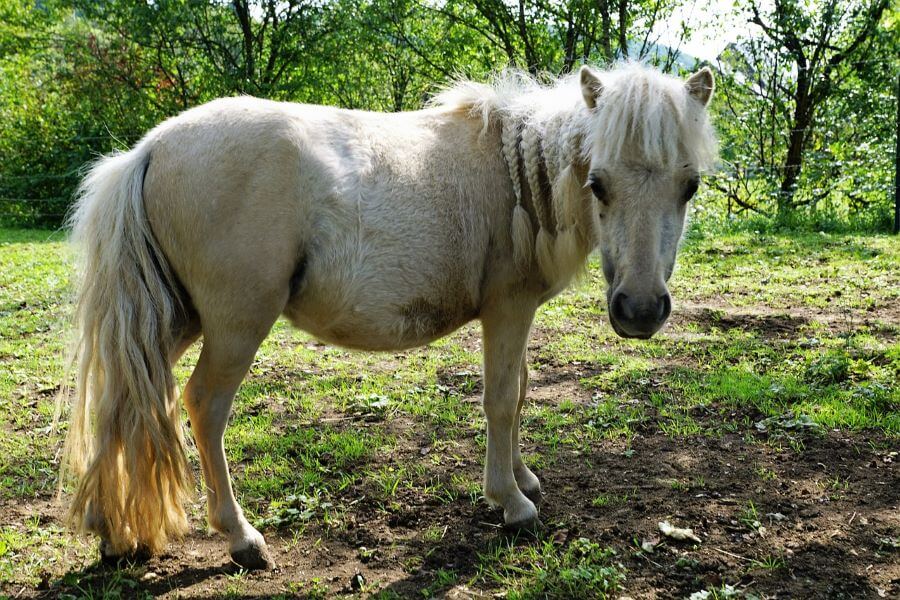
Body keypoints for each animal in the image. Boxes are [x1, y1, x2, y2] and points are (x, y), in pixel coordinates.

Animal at [58, 63, 716, 568]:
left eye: (689, 186)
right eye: (598, 183)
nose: (640, 309)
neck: (514, 172)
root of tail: (150, 148)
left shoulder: (519, 314)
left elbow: (522, 389)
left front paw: (524, 477)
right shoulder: (507, 309)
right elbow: (502, 400)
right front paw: (511, 501)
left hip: (172, 320)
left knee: (124, 399)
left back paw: (109, 530)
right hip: (235, 326)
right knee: (203, 406)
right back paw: (240, 537)